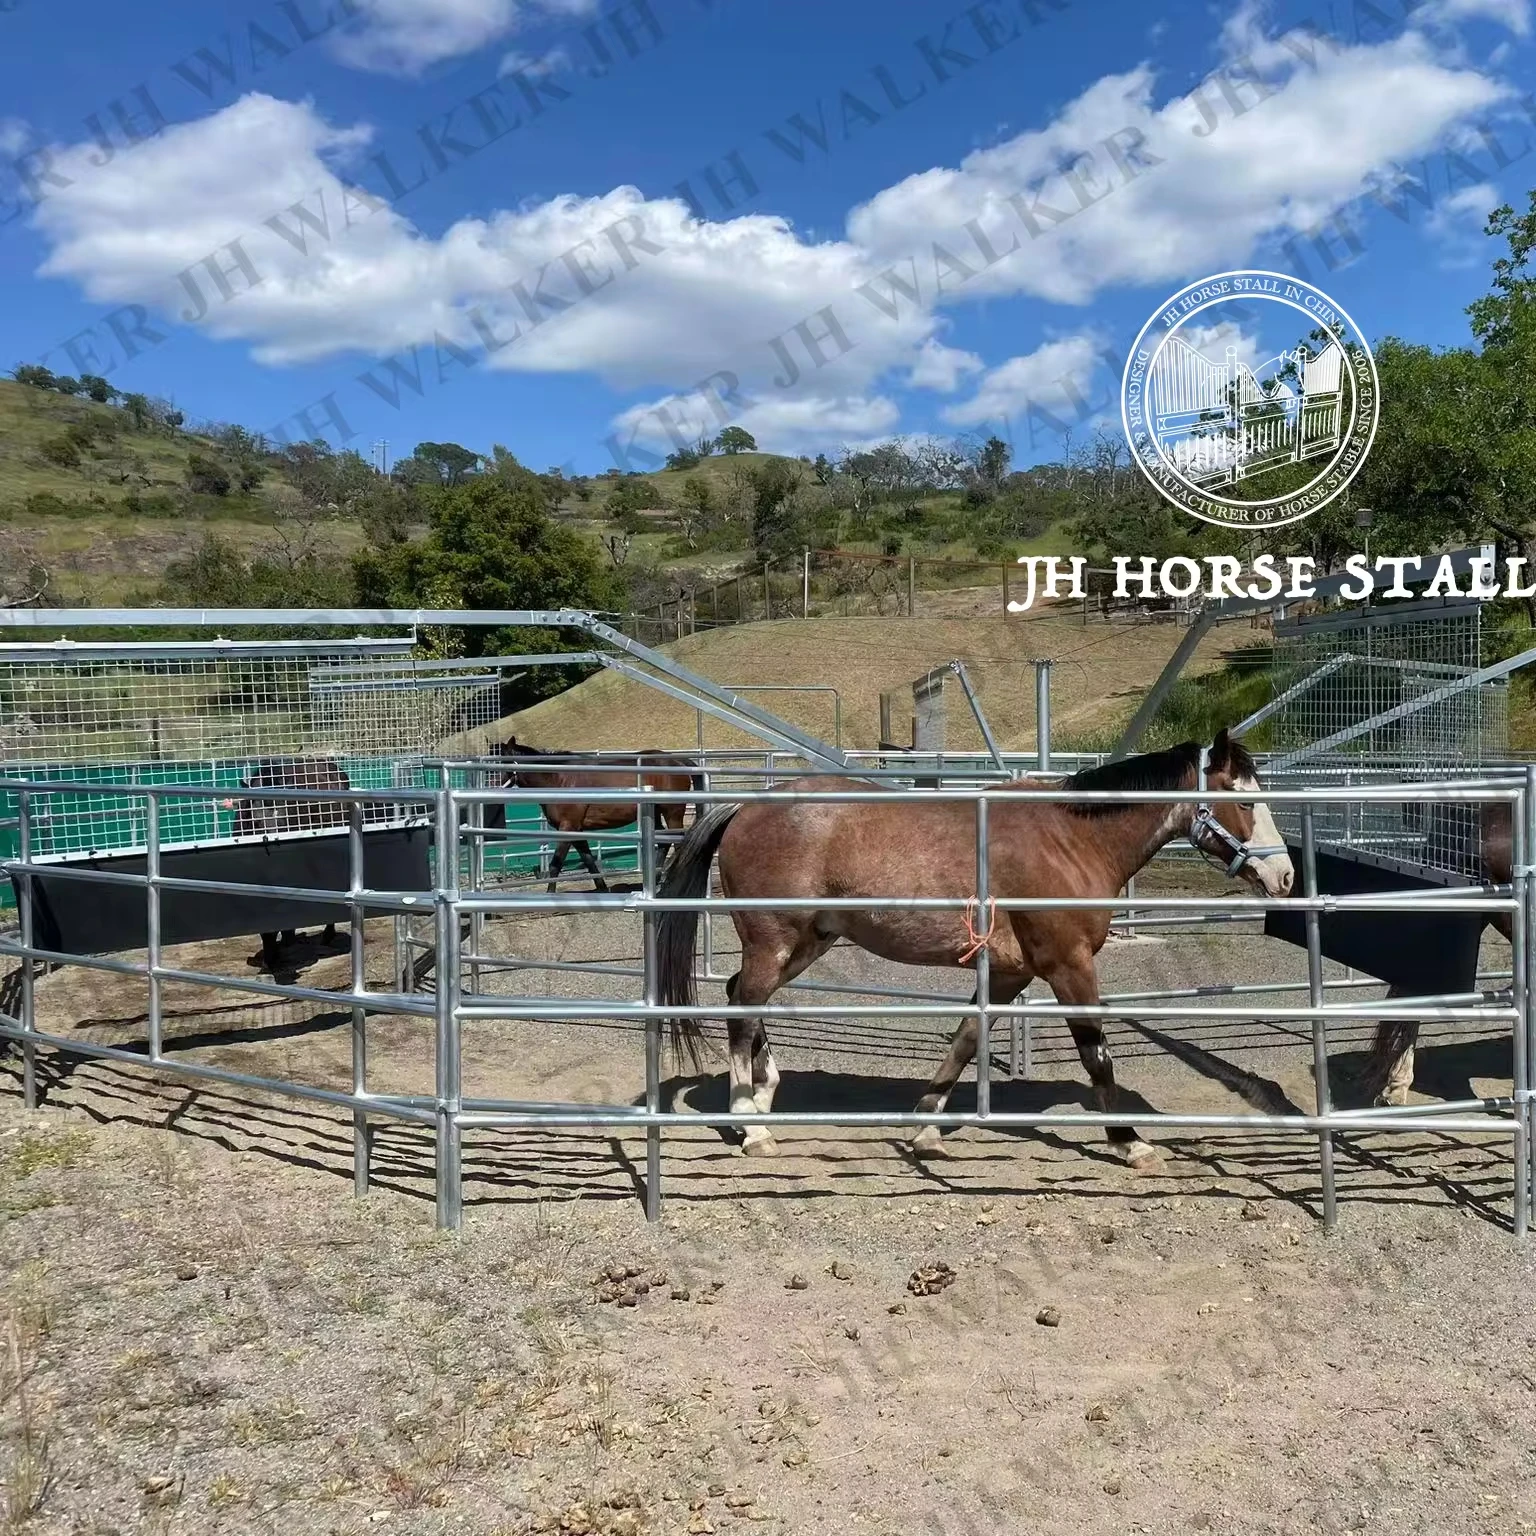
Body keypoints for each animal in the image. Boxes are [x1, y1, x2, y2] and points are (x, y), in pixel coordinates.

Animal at [491, 738, 700, 894]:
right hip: (653, 814)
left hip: (672, 813)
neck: (558, 779)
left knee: (678, 842)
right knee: (664, 841)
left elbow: (556, 864)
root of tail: (677, 762)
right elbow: (589, 860)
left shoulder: (568, 828)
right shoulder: (577, 830)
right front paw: (602, 889)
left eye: (499, 763)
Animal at [655, 729, 1294, 1166]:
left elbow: (965, 1041)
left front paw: (925, 1129)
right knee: (742, 1010)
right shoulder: (1068, 966)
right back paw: (752, 1126)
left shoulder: (1011, 973)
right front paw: (1130, 1142)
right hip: (775, 942)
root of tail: (746, 805)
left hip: (809, 942)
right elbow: (1097, 1052)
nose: (1285, 876)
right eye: (1244, 800)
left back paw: (764, 1096)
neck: (1070, 839)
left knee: (741, 997)